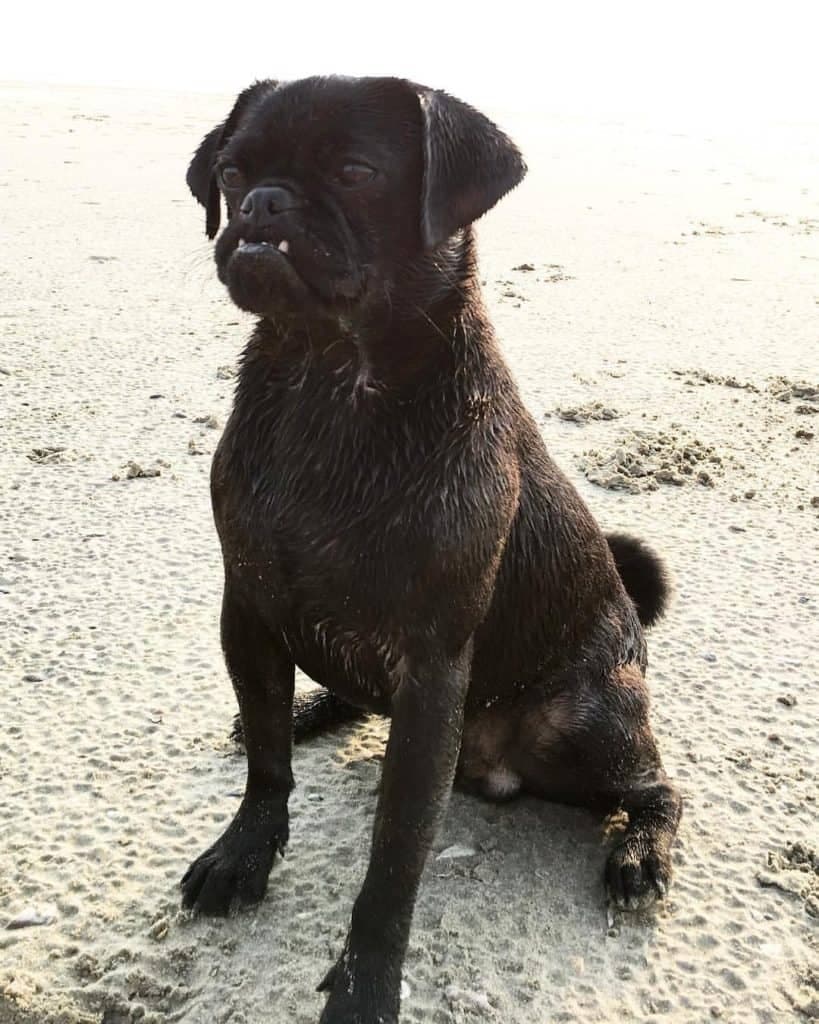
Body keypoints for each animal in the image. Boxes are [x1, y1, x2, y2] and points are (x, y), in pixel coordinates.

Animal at [182, 75, 679, 1019]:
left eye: (354, 172)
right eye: (230, 173)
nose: (264, 203)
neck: (328, 378)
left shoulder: (428, 674)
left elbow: (392, 868)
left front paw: (364, 985)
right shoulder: (248, 615)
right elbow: (266, 767)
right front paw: (243, 854)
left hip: (585, 720)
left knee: (657, 788)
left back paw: (641, 853)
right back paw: (314, 709)